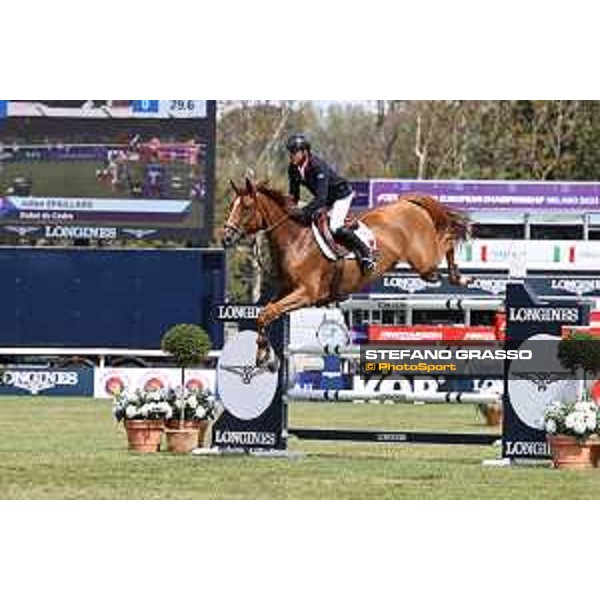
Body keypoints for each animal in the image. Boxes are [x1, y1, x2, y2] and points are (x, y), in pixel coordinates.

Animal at [223, 178, 472, 366]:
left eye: (246, 207)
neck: (295, 239)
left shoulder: (306, 294)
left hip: (424, 260)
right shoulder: (286, 290)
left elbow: (269, 311)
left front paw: (264, 356)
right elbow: (264, 312)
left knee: (449, 240)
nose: (226, 237)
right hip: (424, 264)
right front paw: (264, 355)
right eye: (232, 205)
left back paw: (461, 277)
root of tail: (409, 204)